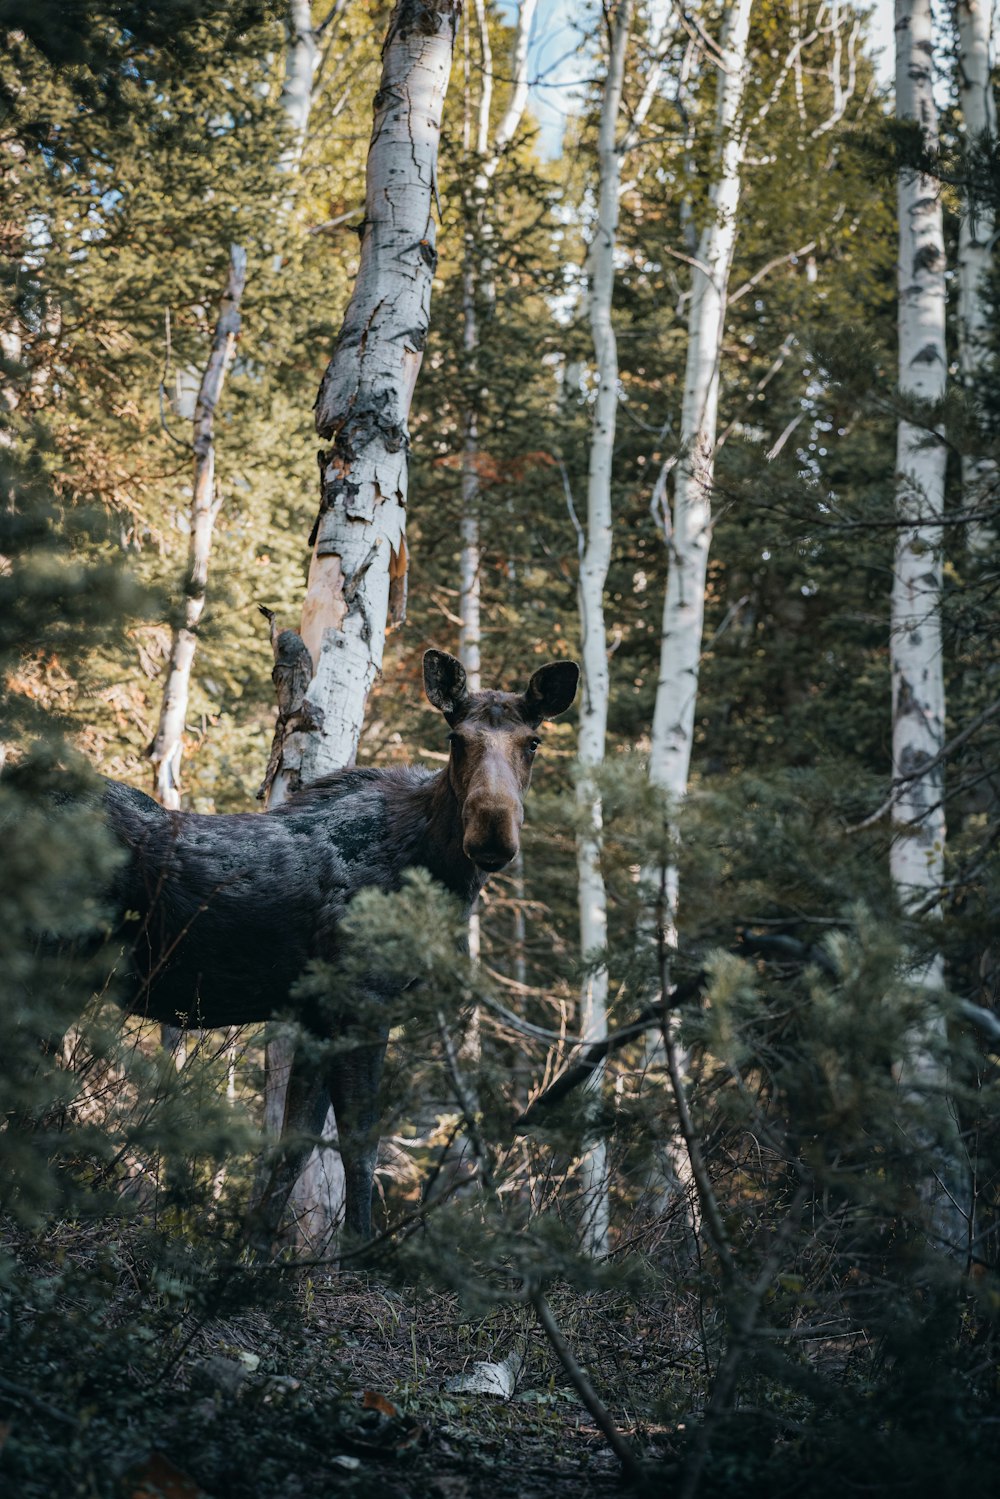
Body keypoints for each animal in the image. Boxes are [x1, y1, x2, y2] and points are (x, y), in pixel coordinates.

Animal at [100, 650, 578, 1247]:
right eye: (456, 739)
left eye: (532, 742)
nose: (492, 833)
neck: (433, 871)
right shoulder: (362, 1001)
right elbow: (360, 1144)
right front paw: (355, 1251)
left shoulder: (316, 1013)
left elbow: (294, 1146)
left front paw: (257, 1251)